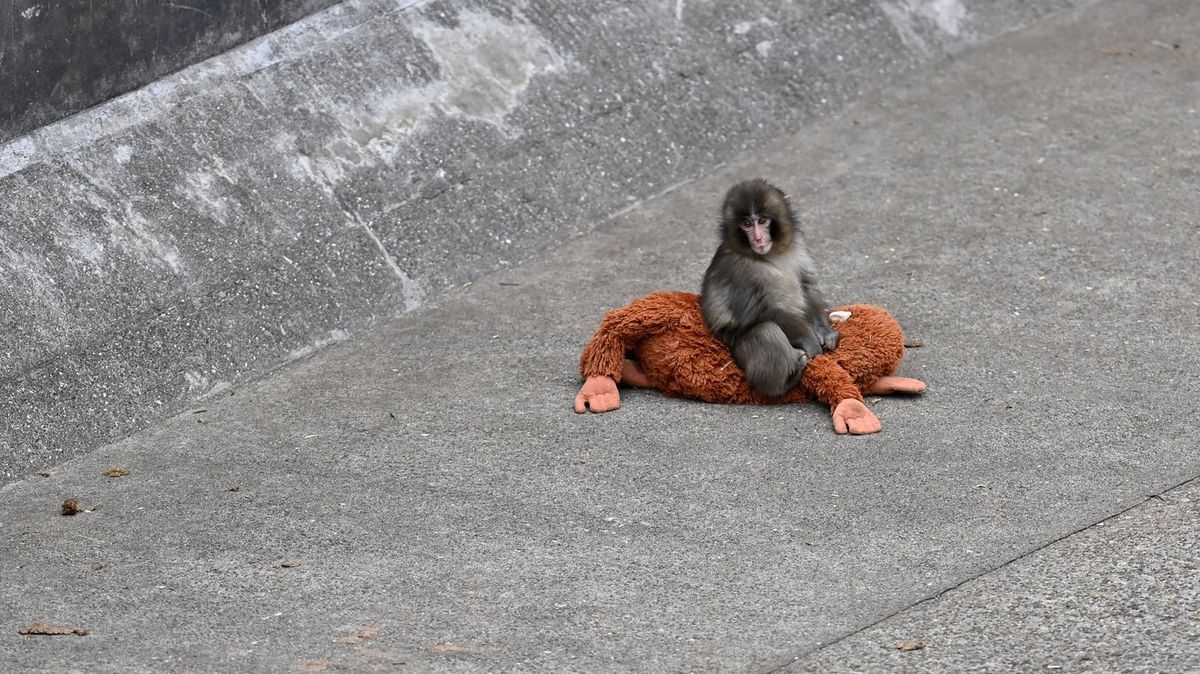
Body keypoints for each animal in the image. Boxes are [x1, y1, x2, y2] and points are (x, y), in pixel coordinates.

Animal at [700, 178, 839, 398]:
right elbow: (762, 312)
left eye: (763, 221)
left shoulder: (797, 243)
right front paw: (810, 340)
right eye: (747, 224)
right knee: (766, 330)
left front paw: (824, 332)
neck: (769, 254)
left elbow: (806, 285)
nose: (758, 238)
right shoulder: (738, 270)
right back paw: (786, 380)